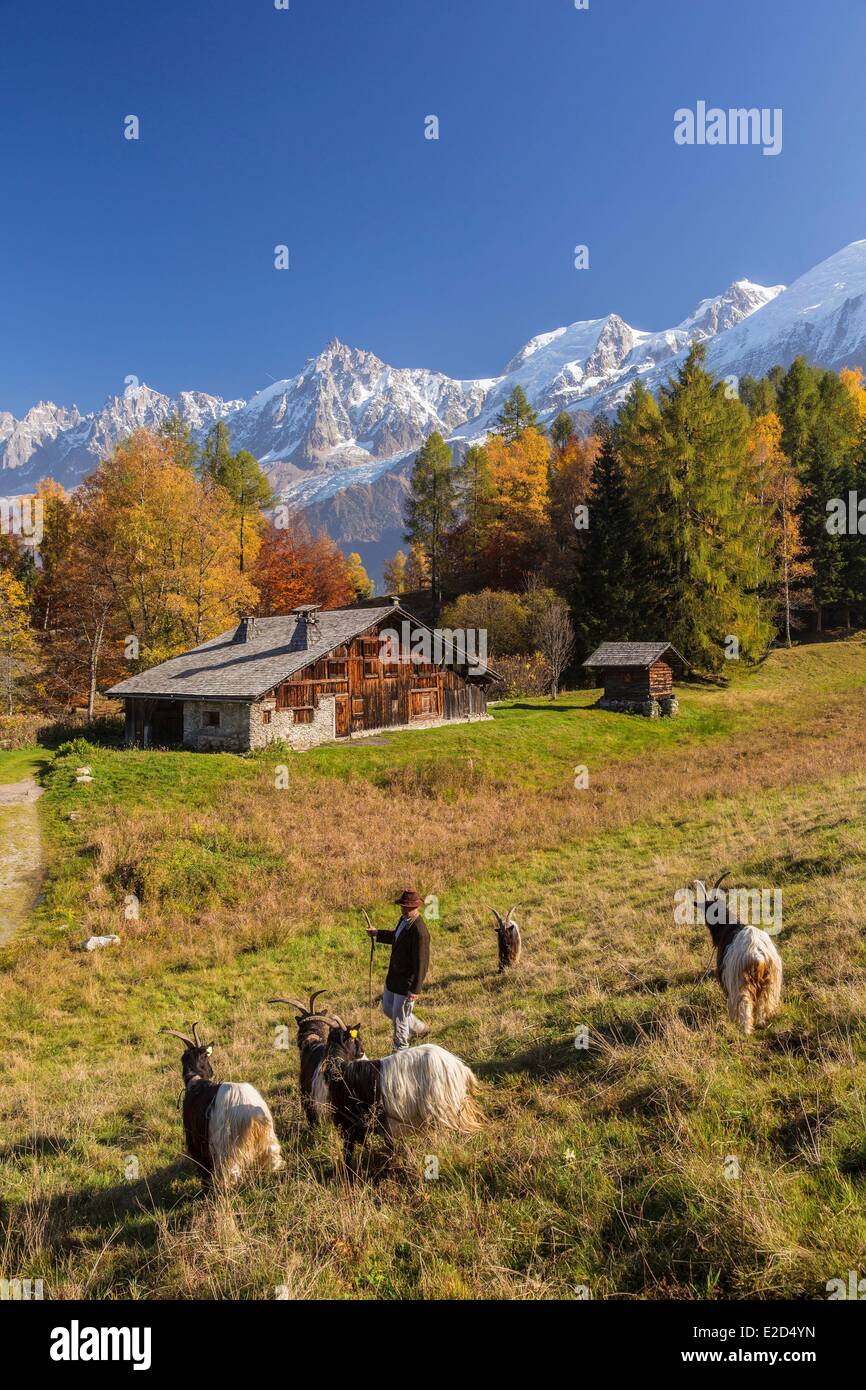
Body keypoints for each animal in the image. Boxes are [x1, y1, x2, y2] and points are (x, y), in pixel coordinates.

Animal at [162, 1023, 284, 1184]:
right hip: (267, 1140)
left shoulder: (196, 1142)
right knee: (273, 1162)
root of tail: (251, 1113)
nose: (211, 1071)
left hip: (228, 1149)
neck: (195, 1081)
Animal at [695, 867, 783, 1034]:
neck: (728, 925)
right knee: (764, 1002)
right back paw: (761, 1023)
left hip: (740, 983)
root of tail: (757, 955)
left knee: (744, 1006)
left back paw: (745, 1029)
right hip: (770, 982)